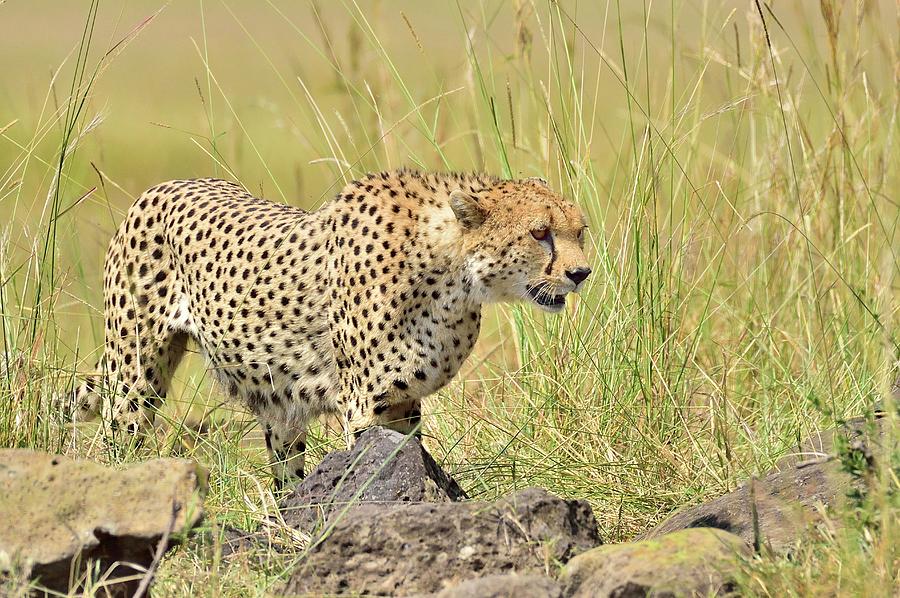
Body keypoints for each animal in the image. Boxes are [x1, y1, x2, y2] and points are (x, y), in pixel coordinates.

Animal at [75, 169, 592, 488]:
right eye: (539, 232)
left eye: (579, 231)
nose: (581, 273)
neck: (452, 273)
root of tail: (165, 185)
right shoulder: (363, 405)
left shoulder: (403, 405)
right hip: (135, 375)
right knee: (117, 438)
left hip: (277, 404)